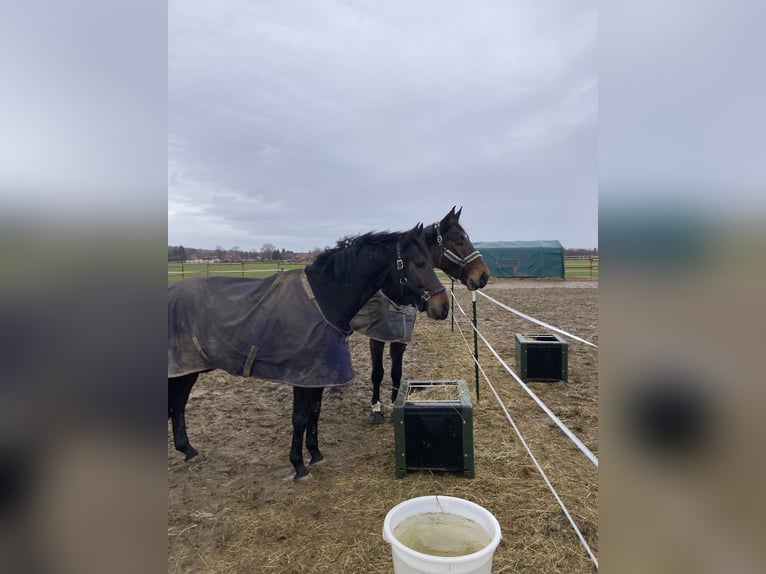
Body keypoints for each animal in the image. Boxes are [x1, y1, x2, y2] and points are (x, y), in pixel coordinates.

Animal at [169, 225, 452, 482]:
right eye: (419, 263)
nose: (443, 307)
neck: (324, 300)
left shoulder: (318, 376)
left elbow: (314, 412)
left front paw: (315, 455)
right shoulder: (303, 377)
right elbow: (299, 418)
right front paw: (298, 465)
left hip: (189, 369)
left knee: (178, 404)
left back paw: (188, 450)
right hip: (181, 369)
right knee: (176, 404)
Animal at [350, 207, 492, 424]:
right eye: (459, 239)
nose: (483, 275)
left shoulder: (401, 337)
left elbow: (396, 371)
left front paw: (395, 402)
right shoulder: (377, 337)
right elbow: (377, 373)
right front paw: (376, 408)